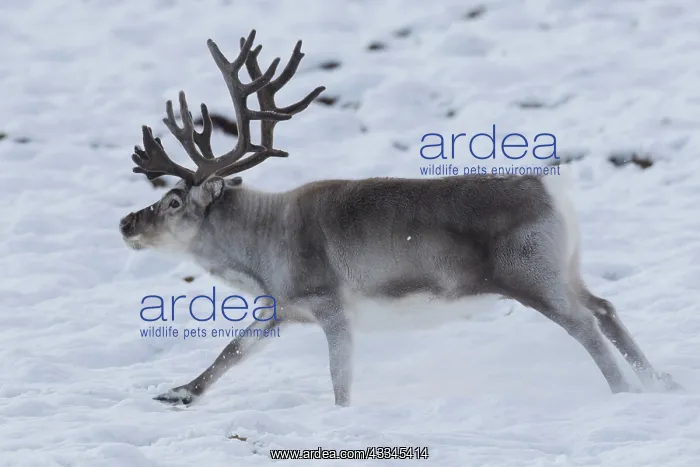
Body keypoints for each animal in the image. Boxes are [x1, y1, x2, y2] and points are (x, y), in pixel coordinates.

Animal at [119, 29, 681, 407]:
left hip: (530, 273)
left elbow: (339, 378)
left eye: (173, 201)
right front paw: (179, 393)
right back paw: (660, 382)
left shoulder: (329, 304)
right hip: (567, 268)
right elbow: (231, 351)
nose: (126, 224)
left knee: (585, 324)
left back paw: (625, 392)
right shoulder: (281, 307)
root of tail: (552, 189)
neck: (257, 252)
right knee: (605, 307)